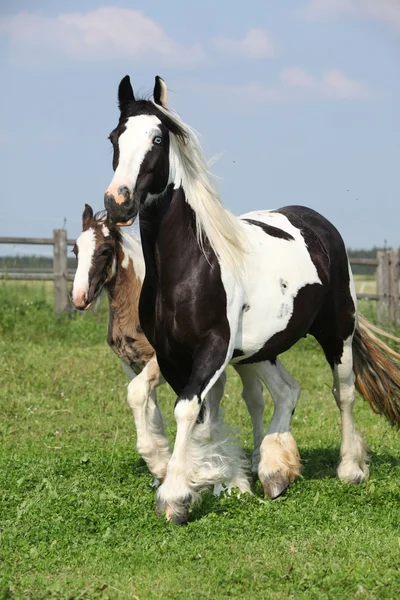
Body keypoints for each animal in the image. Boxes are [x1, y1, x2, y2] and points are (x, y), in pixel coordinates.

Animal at [71, 204, 253, 494]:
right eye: (75, 250)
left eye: (105, 250)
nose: (79, 298)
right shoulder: (131, 365)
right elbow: (150, 408)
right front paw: (161, 468)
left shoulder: (158, 361)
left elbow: (136, 394)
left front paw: (158, 464)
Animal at [104, 76, 400, 524]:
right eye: (114, 138)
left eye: (157, 138)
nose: (118, 202)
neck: (191, 264)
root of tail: (318, 224)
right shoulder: (172, 355)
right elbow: (196, 413)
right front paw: (215, 479)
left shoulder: (212, 349)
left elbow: (187, 410)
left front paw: (176, 495)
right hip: (261, 350)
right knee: (286, 392)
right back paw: (274, 471)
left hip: (337, 332)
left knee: (343, 392)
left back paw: (349, 469)